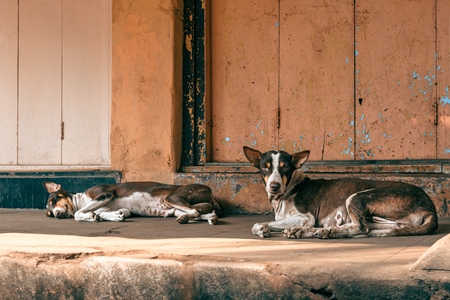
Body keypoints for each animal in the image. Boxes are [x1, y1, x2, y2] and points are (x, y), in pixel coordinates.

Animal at [244, 146, 438, 239]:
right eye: (265, 167)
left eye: (285, 168)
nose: (274, 186)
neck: (286, 191)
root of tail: (430, 208)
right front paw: (265, 230)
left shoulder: (306, 217)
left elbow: (257, 224)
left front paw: (262, 229)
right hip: (384, 220)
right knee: (373, 229)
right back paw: (310, 231)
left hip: (356, 197)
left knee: (360, 227)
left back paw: (326, 231)